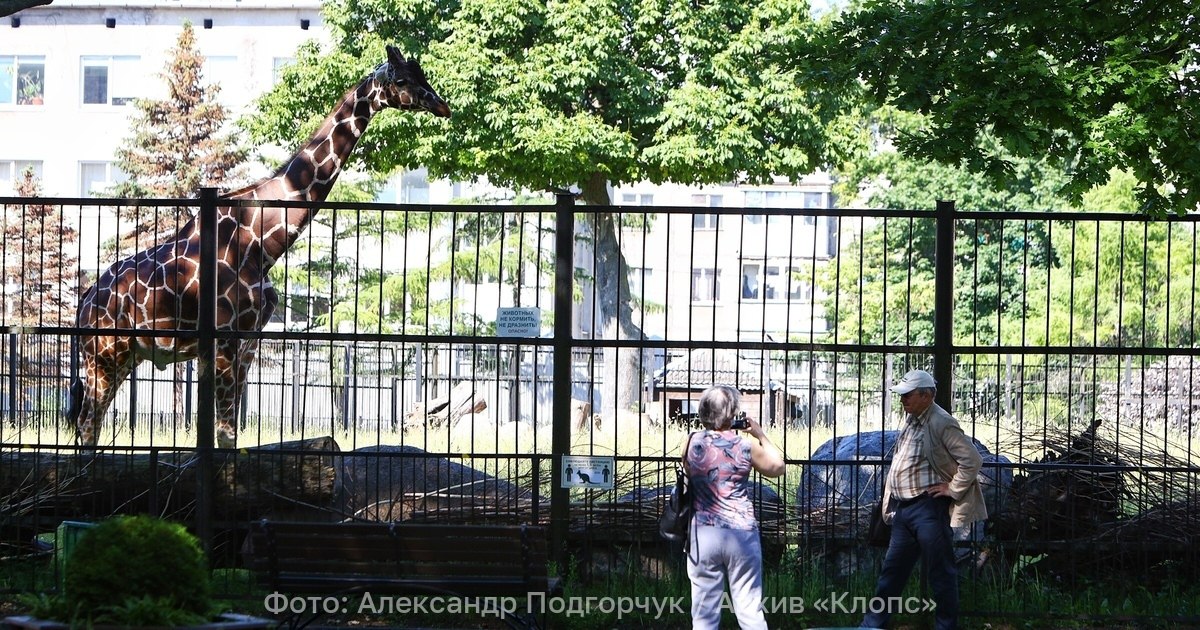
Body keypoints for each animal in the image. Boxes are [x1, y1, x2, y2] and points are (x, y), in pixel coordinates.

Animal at [66, 45, 451, 448]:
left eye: (422, 73)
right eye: (402, 79)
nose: (442, 106)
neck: (261, 243)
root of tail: (83, 303)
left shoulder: (250, 340)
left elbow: (231, 434)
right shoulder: (223, 339)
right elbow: (223, 431)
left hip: (126, 357)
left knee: (89, 424)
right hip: (104, 355)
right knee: (88, 425)